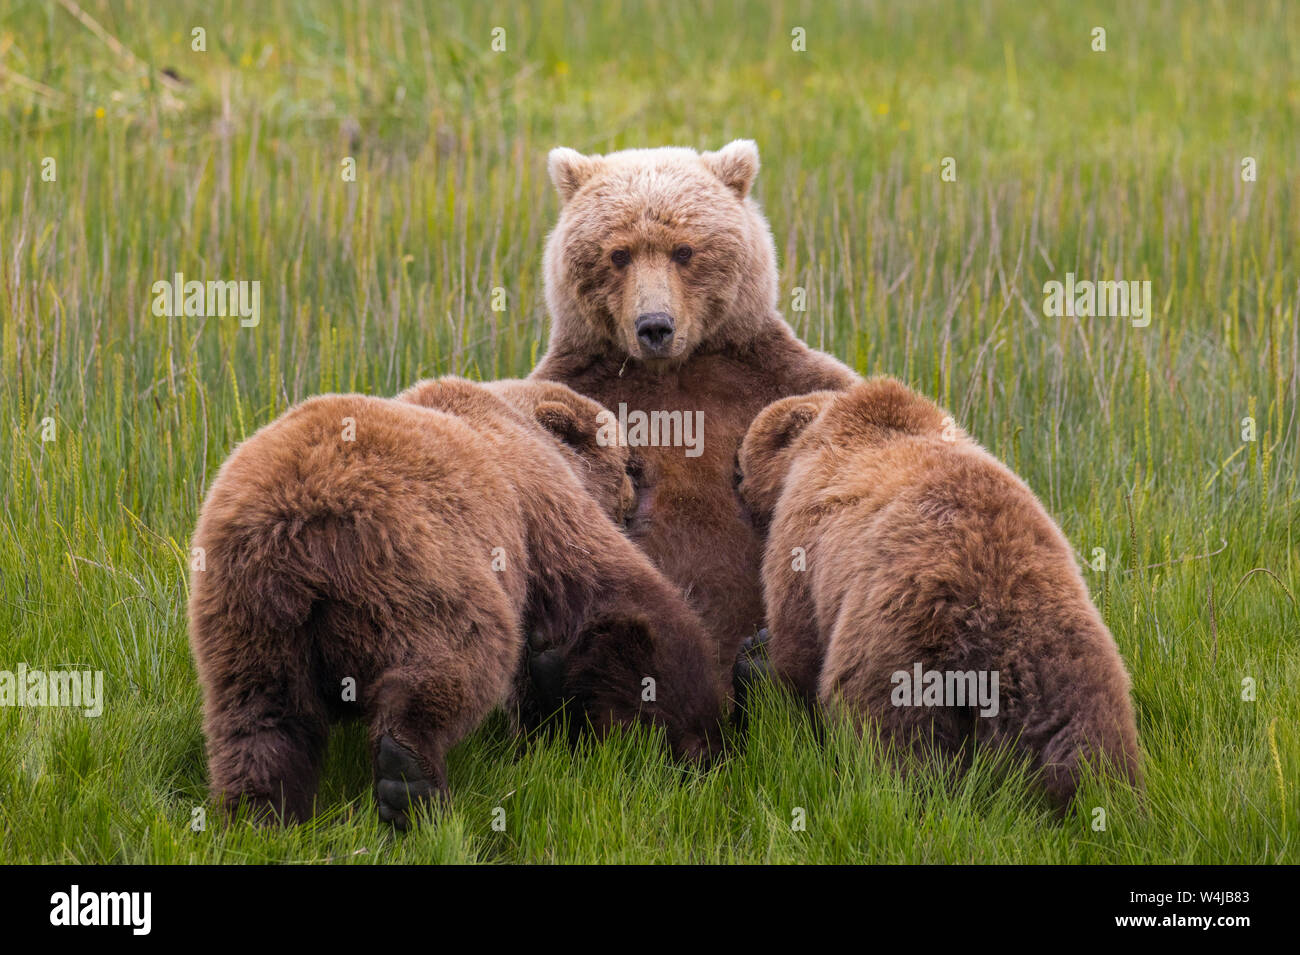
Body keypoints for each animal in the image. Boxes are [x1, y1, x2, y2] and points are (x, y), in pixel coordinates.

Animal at [188, 374, 728, 831]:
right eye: (630, 462)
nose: (644, 492)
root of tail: (296, 524)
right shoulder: (539, 506)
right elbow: (624, 598)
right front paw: (701, 738)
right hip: (420, 569)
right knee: (461, 658)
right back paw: (409, 779)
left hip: (246, 609)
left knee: (261, 715)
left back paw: (263, 815)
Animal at [533, 140, 857, 696]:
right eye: (619, 254)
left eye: (683, 251)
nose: (654, 326)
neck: (673, 372)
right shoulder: (581, 386)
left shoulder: (770, 379)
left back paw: (757, 660)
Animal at [738, 376, 1144, 810]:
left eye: (744, 453)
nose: (735, 475)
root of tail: (987, 607)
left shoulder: (803, 539)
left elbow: (798, 641)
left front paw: (766, 664)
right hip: (1059, 649)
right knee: (1083, 732)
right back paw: (1099, 796)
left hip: (898, 642)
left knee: (894, 733)